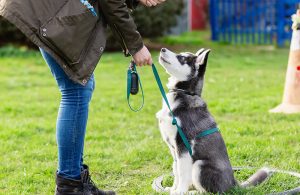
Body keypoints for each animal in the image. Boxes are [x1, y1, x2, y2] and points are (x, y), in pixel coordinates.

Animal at [156, 47, 238, 193]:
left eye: (182, 58)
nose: (162, 49)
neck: (184, 93)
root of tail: (233, 184)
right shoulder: (174, 148)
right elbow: (176, 170)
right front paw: (173, 189)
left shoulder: (183, 144)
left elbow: (182, 172)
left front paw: (180, 191)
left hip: (199, 165)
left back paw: (193, 192)